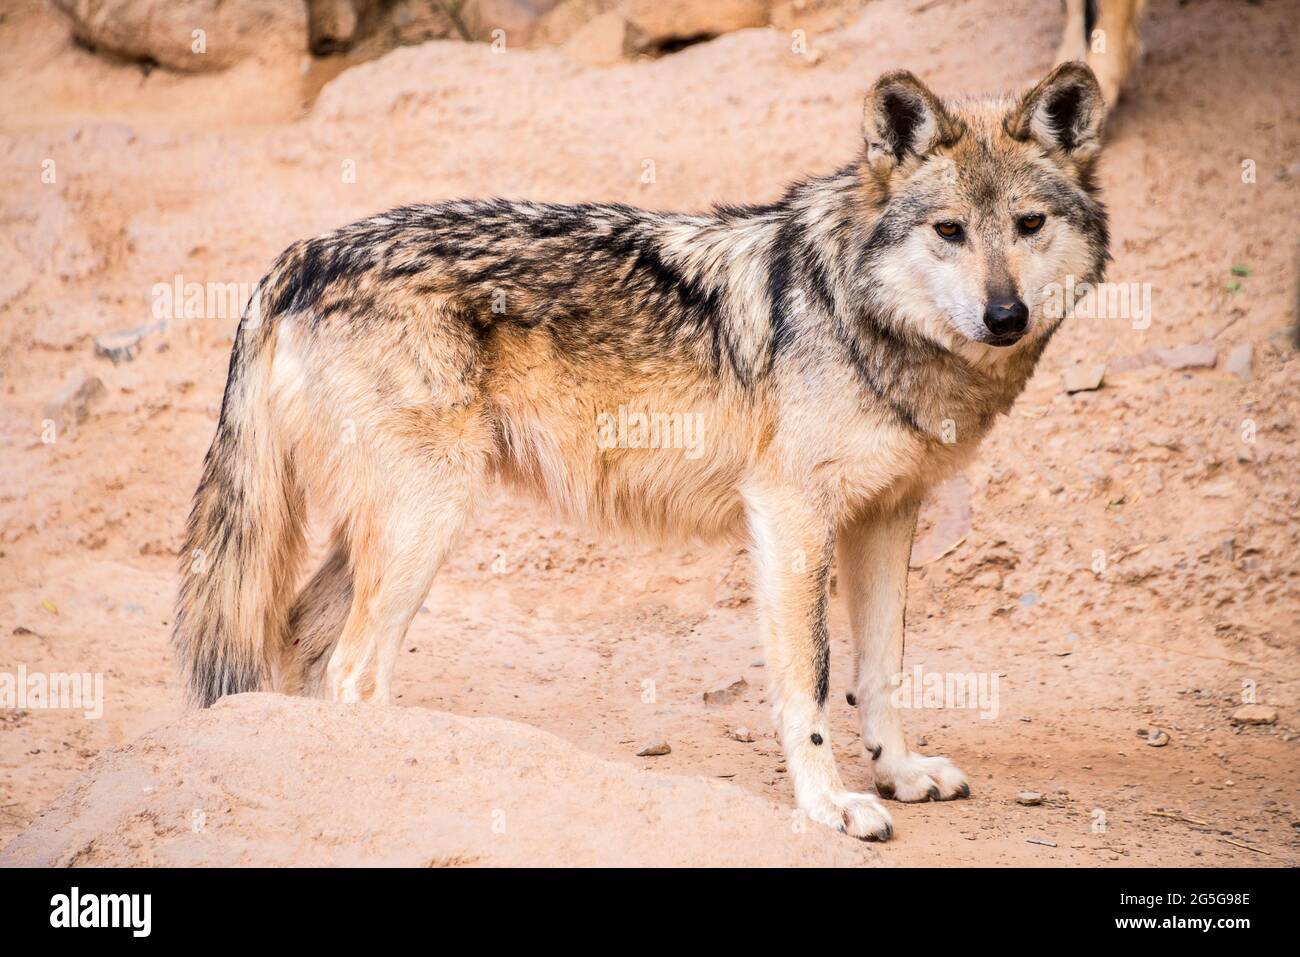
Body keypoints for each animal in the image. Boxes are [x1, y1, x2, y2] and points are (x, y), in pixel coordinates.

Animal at [172, 61, 1107, 837]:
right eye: (949, 231)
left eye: (1027, 224)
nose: (1006, 315)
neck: (859, 313)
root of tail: (299, 256)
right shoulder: (791, 516)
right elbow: (809, 680)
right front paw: (831, 805)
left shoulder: (886, 513)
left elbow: (882, 668)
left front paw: (901, 774)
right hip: (428, 520)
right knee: (354, 672)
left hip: (392, 526)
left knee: (302, 640)